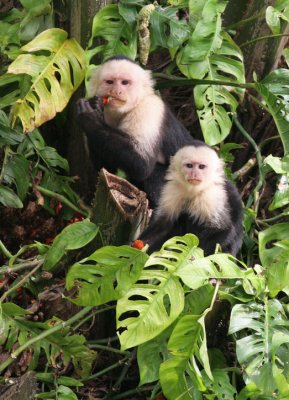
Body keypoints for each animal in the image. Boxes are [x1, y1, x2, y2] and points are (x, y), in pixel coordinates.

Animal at [76, 54, 194, 208]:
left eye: (125, 82)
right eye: (110, 82)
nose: (116, 91)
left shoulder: (148, 109)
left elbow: (142, 164)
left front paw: (89, 117)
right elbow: (105, 168)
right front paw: (94, 105)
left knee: (154, 175)